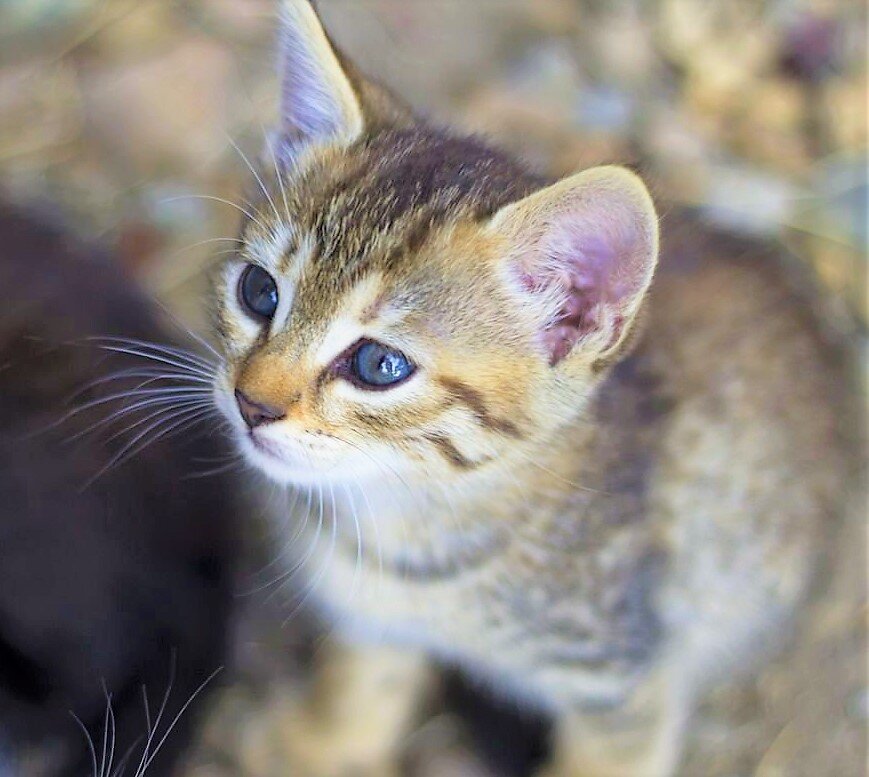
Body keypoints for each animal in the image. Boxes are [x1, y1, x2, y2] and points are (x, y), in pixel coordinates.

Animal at [210, 3, 848, 772]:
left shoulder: (623, 684)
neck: (408, 516)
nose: (252, 402)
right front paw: (321, 742)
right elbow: (365, 680)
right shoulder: (377, 621)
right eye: (258, 292)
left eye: (379, 366)